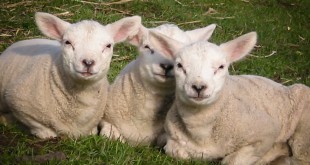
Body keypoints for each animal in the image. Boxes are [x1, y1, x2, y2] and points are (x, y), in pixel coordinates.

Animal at [0, 11, 142, 139]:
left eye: (108, 45)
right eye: (68, 42)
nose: (88, 62)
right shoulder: (17, 100)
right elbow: (39, 126)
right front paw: (45, 132)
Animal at [148, 30, 310, 164]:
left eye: (221, 67)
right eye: (179, 66)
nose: (198, 87)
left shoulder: (267, 131)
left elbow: (230, 161)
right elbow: (173, 150)